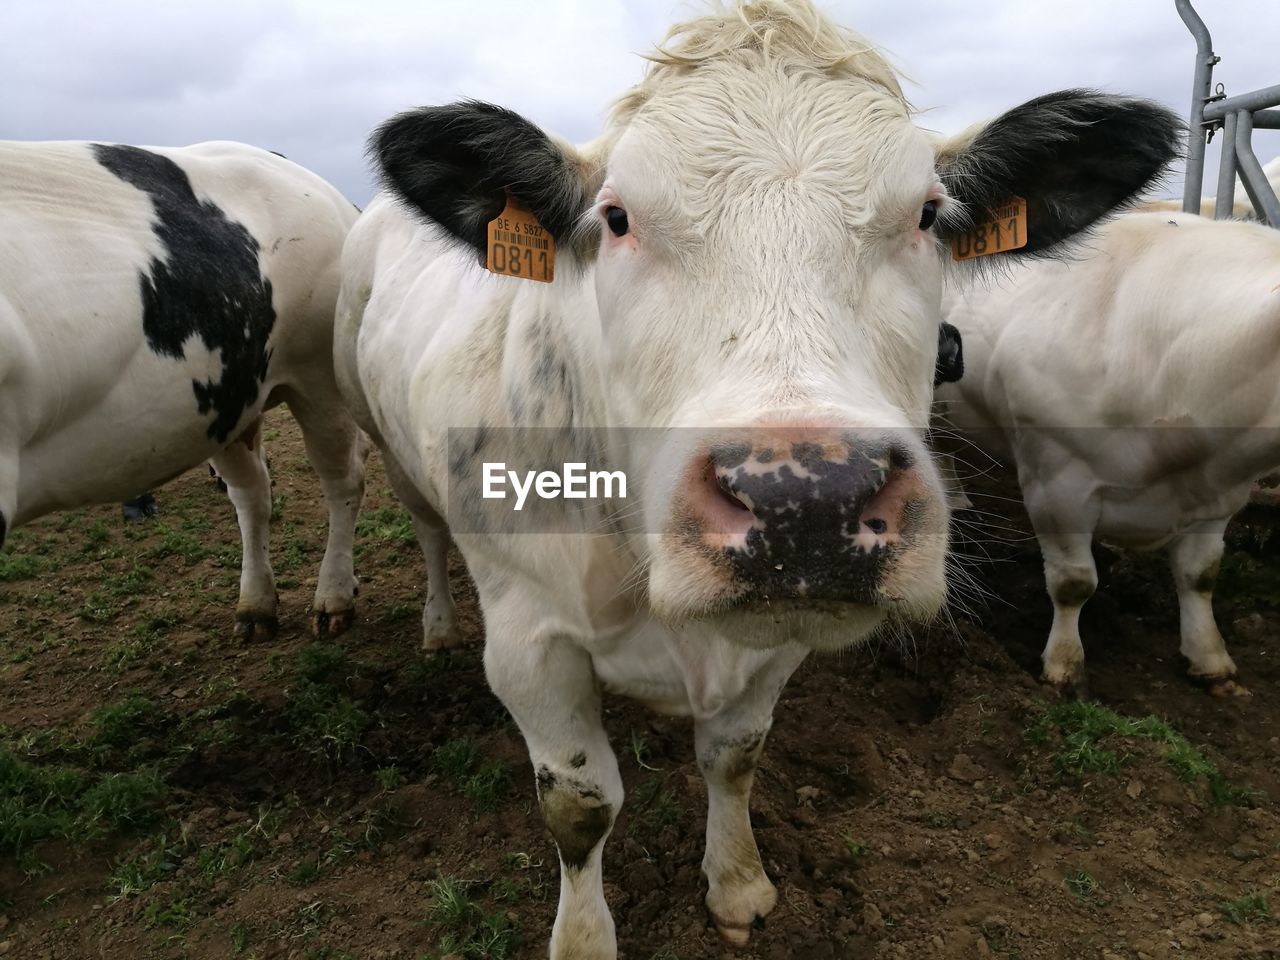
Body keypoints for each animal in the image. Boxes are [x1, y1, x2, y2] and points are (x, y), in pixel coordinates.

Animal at [0, 138, 366, 642]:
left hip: (319, 377)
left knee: (342, 482)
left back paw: (333, 596)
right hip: (227, 400)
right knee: (252, 493)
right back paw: (256, 606)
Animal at [332, 3, 1177, 957]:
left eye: (929, 214)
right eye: (616, 217)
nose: (806, 498)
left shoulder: (779, 638)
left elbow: (734, 759)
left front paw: (737, 885)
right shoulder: (529, 641)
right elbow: (580, 809)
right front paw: (583, 937)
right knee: (428, 533)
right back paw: (439, 623)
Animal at [942, 212, 1280, 701]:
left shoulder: (1221, 495)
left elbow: (1200, 575)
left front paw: (1210, 659)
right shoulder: (1055, 481)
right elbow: (1073, 582)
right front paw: (1063, 668)